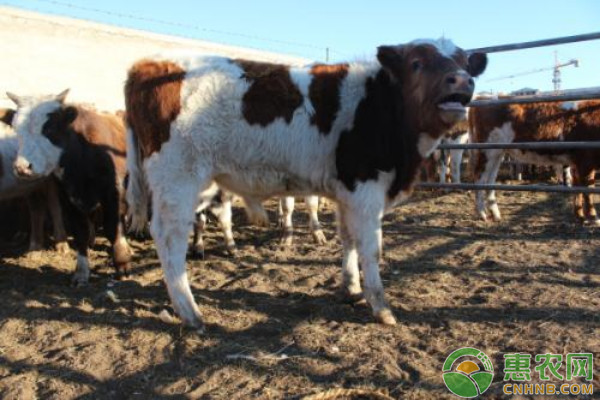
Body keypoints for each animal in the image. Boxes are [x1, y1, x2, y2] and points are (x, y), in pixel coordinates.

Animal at [8, 90, 132, 284]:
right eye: (16, 129)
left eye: (49, 129)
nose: (22, 167)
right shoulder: (67, 198)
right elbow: (80, 232)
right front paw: (81, 272)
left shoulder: (114, 193)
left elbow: (113, 228)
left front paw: (122, 264)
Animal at [124, 37, 486, 328]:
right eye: (416, 63)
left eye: (464, 61)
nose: (461, 79)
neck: (380, 103)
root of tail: (146, 64)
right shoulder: (367, 191)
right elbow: (371, 248)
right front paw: (380, 306)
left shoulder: (346, 192)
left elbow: (348, 239)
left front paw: (351, 288)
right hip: (177, 178)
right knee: (169, 238)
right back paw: (190, 312)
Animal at [472, 100, 600, 223]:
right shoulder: (586, 162)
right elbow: (588, 190)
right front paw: (594, 218)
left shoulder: (577, 163)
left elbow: (578, 188)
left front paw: (580, 216)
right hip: (488, 151)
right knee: (479, 178)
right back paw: (482, 214)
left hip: (498, 153)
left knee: (490, 180)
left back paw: (496, 214)